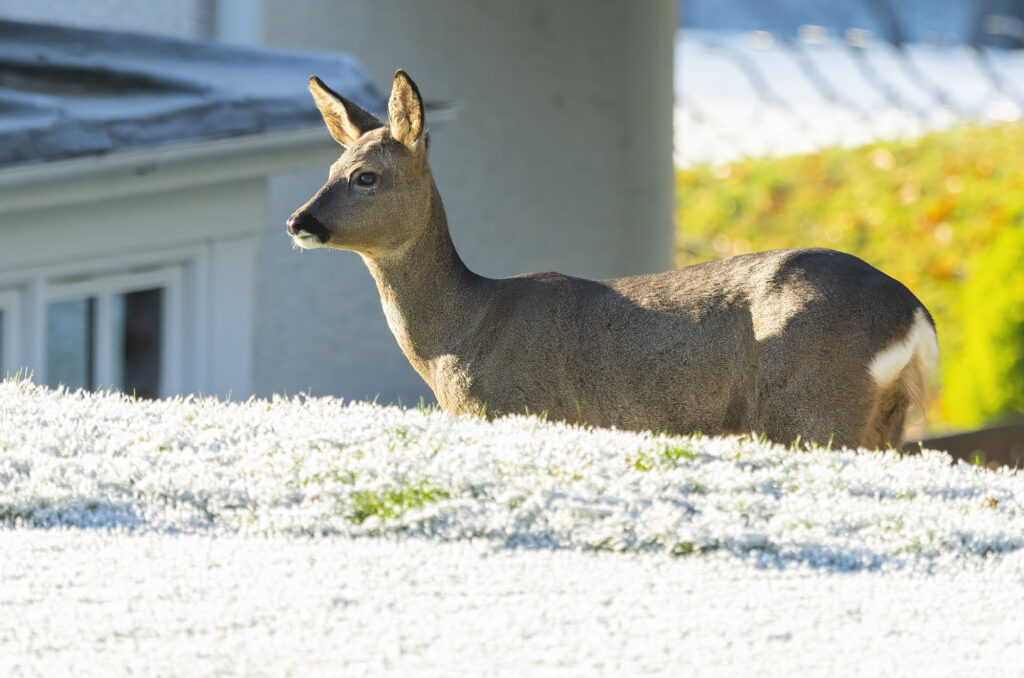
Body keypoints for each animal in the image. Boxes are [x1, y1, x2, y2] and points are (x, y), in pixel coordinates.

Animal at [286, 70, 937, 450]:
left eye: (366, 176)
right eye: (329, 169)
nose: (299, 222)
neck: (462, 335)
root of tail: (915, 315)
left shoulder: (520, 408)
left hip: (810, 404)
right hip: (880, 420)